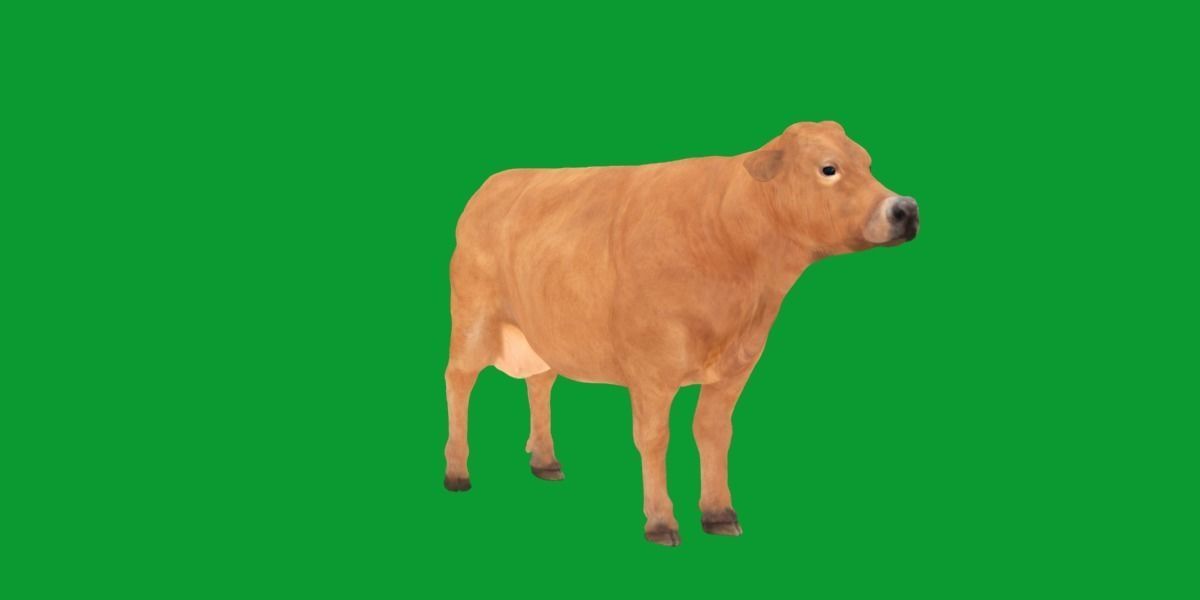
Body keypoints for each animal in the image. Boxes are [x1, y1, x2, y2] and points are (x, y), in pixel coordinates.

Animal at [443, 121, 919, 546]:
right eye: (828, 168)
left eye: (867, 163)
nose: (906, 208)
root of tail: (496, 183)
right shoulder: (651, 369)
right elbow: (654, 439)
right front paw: (660, 523)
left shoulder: (736, 367)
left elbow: (713, 432)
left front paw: (719, 513)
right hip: (472, 318)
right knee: (458, 381)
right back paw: (457, 472)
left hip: (543, 331)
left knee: (540, 381)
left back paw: (545, 461)